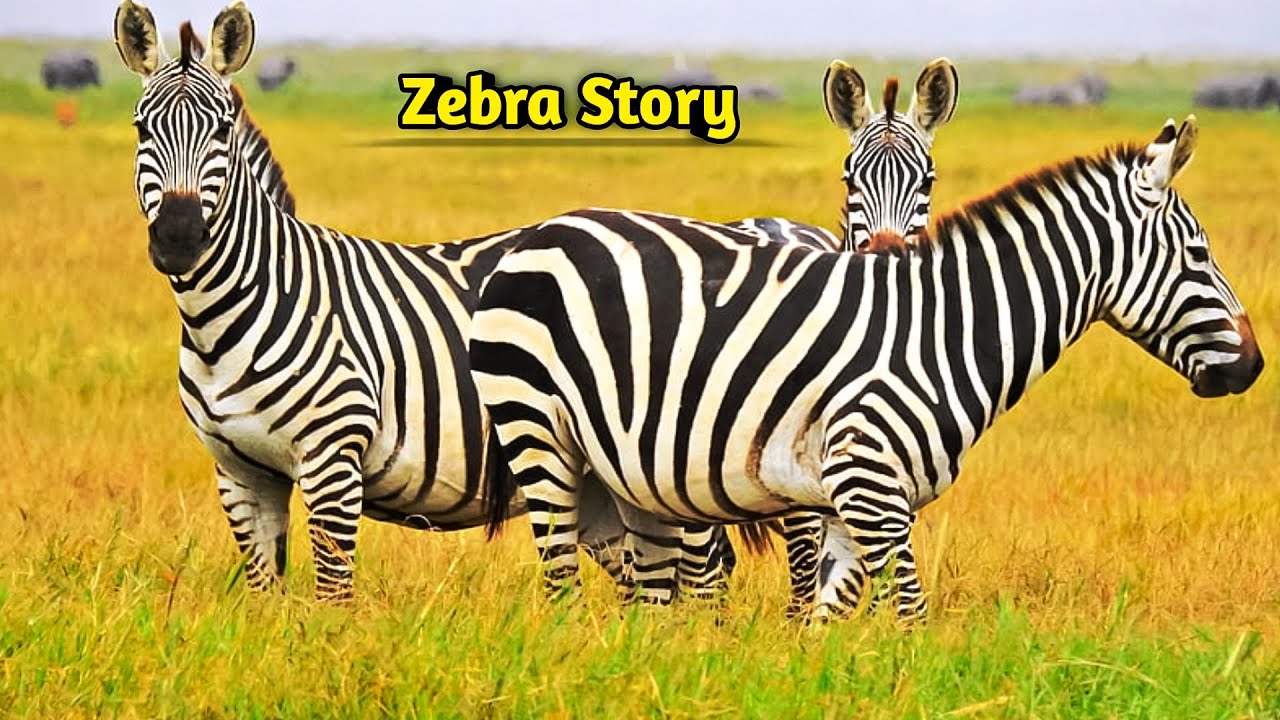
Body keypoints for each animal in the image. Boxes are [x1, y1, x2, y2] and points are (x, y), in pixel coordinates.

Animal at [471, 116, 1263, 622]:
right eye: (1200, 253)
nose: (1254, 368)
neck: (945, 334)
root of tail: (539, 233)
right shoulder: (869, 484)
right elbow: (909, 614)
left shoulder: (866, 500)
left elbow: (831, 615)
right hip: (537, 430)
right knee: (561, 579)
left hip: (624, 471)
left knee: (650, 592)